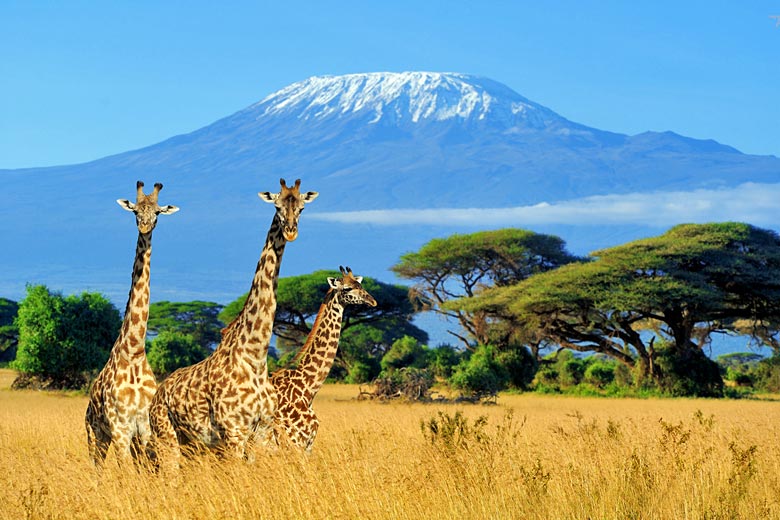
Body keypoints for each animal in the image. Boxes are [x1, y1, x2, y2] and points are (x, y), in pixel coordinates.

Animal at [84, 180, 179, 468]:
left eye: (157, 212)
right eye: (136, 211)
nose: (145, 226)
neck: (135, 350)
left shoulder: (144, 428)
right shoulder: (120, 428)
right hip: (95, 434)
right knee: (96, 468)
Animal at [148, 178, 318, 464]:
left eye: (302, 207)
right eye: (277, 206)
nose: (291, 231)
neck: (255, 356)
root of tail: (157, 395)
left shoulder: (263, 431)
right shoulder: (234, 432)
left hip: (192, 444)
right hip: (167, 437)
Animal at [268, 266, 378, 452]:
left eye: (360, 285)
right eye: (347, 288)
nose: (373, 301)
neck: (308, 388)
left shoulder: (307, 445)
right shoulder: (294, 442)